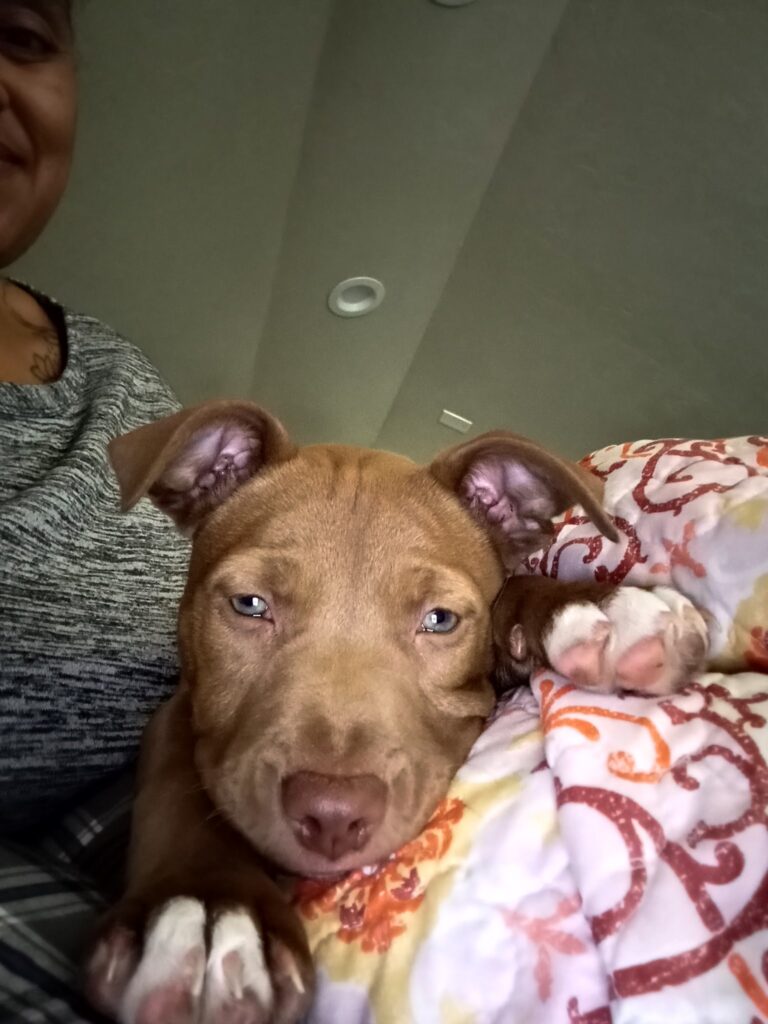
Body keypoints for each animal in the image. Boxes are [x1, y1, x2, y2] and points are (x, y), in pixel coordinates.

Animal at [84, 401, 708, 1024]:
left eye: (440, 620)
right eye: (249, 604)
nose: (332, 816)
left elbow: (510, 595)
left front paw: (595, 606)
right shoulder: (182, 708)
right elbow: (179, 776)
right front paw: (209, 902)